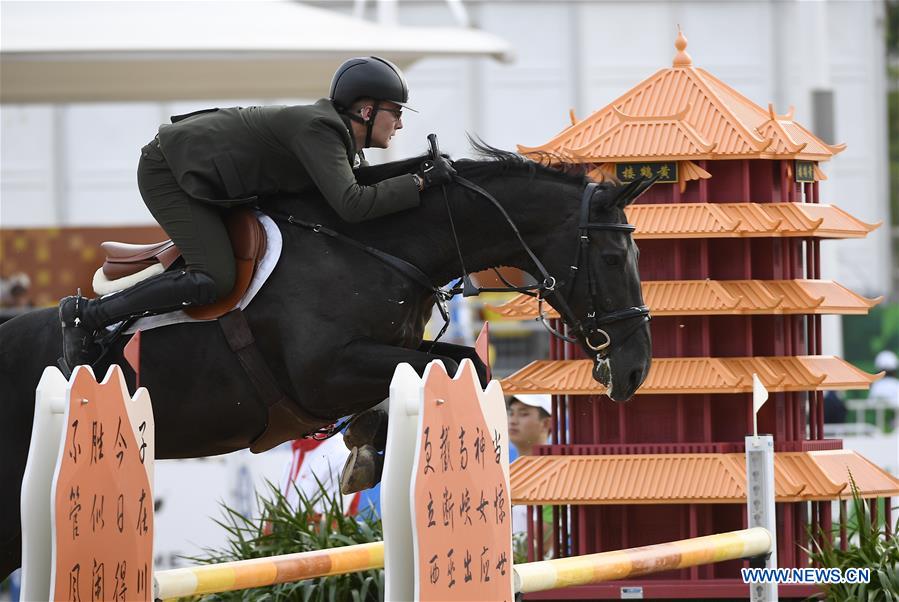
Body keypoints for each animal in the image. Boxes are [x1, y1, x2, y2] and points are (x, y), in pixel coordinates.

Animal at [0, 143, 652, 576]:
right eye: (613, 258)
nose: (634, 369)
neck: (378, 248)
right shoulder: (326, 373)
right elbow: (447, 369)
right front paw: (367, 451)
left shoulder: (391, 351)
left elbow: (455, 362)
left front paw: (365, 449)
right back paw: (77, 332)